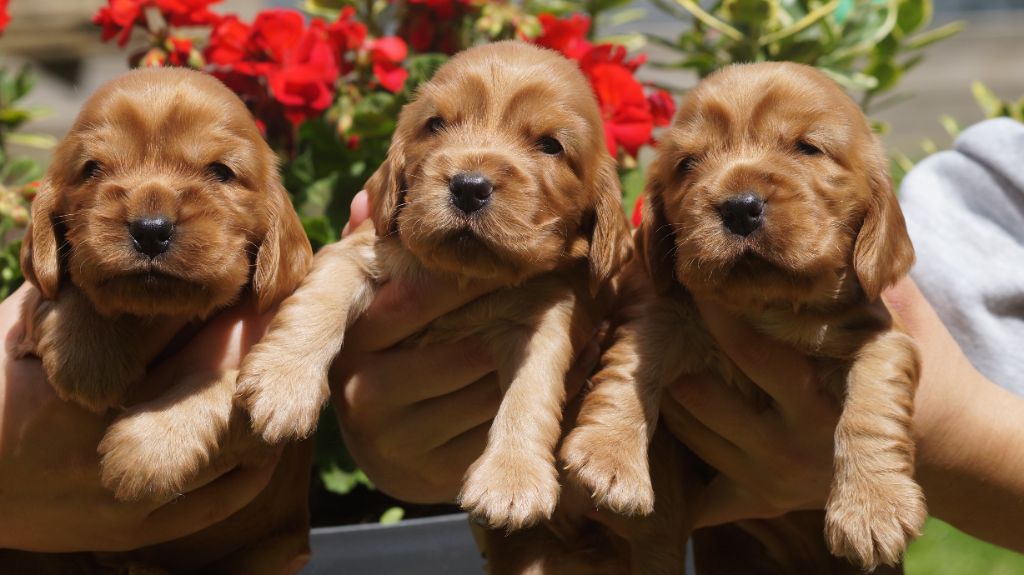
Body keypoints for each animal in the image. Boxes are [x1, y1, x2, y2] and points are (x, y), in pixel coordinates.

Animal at [14, 68, 311, 572]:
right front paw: (88, 357)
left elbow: (224, 382)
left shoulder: (270, 433)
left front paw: (148, 450)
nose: (150, 229)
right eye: (92, 169)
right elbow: (70, 288)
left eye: (221, 172)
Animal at [237, 41, 630, 532]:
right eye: (436, 125)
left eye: (551, 146)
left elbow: (531, 391)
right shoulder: (357, 250)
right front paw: (283, 383)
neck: (466, 272)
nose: (469, 187)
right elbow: (319, 302)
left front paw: (511, 478)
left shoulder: (550, 316)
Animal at [569, 60, 929, 564]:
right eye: (687, 164)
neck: (768, 303)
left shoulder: (884, 337)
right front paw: (607, 455)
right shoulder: (667, 315)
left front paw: (873, 507)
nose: (739, 207)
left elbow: (873, 404)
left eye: (808, 147)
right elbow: (629, 369)